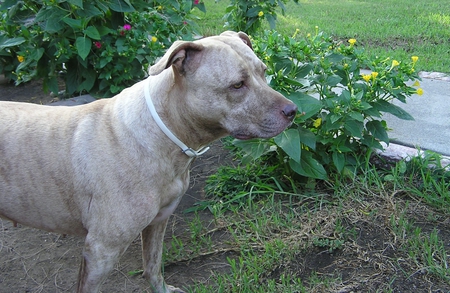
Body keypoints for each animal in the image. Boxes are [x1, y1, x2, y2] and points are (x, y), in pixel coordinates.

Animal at [0, 30, 298, 290]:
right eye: (237, 85)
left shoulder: (158, 222)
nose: (293, 110)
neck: (162, 136)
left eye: (263, 71)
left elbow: (152, 267)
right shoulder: (100, 251)